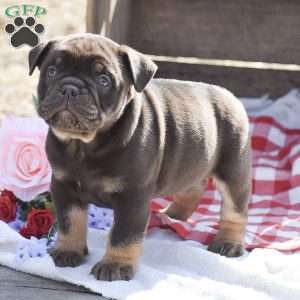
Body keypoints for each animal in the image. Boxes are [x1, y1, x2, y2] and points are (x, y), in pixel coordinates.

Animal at [28, 34, 251, 282]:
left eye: (103, 80)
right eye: (51, 71)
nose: (69, 88)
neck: (84, 145)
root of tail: (230, 96)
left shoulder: (132, 197)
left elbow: (123, 234)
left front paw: (115, 265)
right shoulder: (64, 187)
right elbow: (70, 222)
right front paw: (68, 250)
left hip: (233, 169)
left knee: (235, 208)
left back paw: (228, 242)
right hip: (193, 163)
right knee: (191, 188)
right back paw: (172, 215)